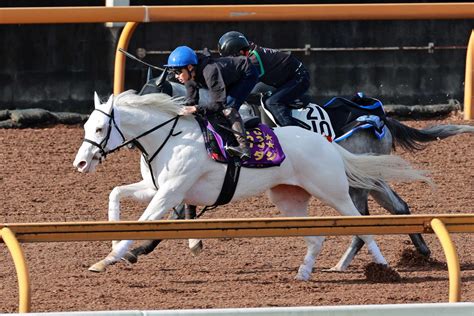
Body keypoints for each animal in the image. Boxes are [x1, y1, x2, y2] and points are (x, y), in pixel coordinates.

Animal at [72, 90, 432, 280]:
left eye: (101, 128)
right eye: (88, 125)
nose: (81, 163)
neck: (170, 137)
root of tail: (329, 143)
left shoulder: (169, 193)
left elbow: (143, 223)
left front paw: (109, 258)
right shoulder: (156, 188)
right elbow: (115, 194)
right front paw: (115, 243)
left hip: (333, 192)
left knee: (363, 226)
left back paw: (385, 269)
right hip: (288, 199)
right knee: (317, 236)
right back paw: (303, 274)